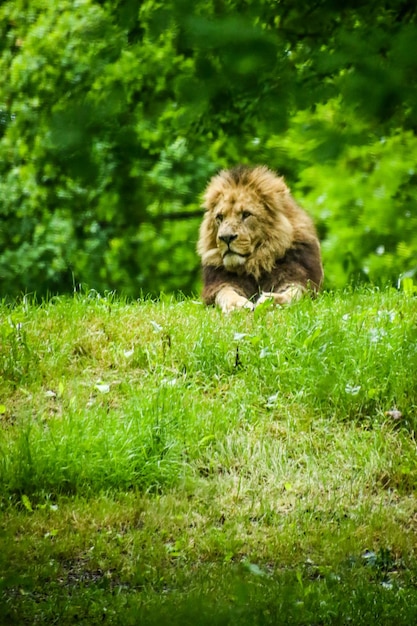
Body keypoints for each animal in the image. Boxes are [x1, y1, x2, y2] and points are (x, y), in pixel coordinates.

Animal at [197, 166, 324, 312]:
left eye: (246, 214)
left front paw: (271, 302)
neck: (257, 262)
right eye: (220, 217)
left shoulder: (301, 280)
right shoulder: (219, 284)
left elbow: (294, 293)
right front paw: (236, 305)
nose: (226, 237)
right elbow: (225, 293)